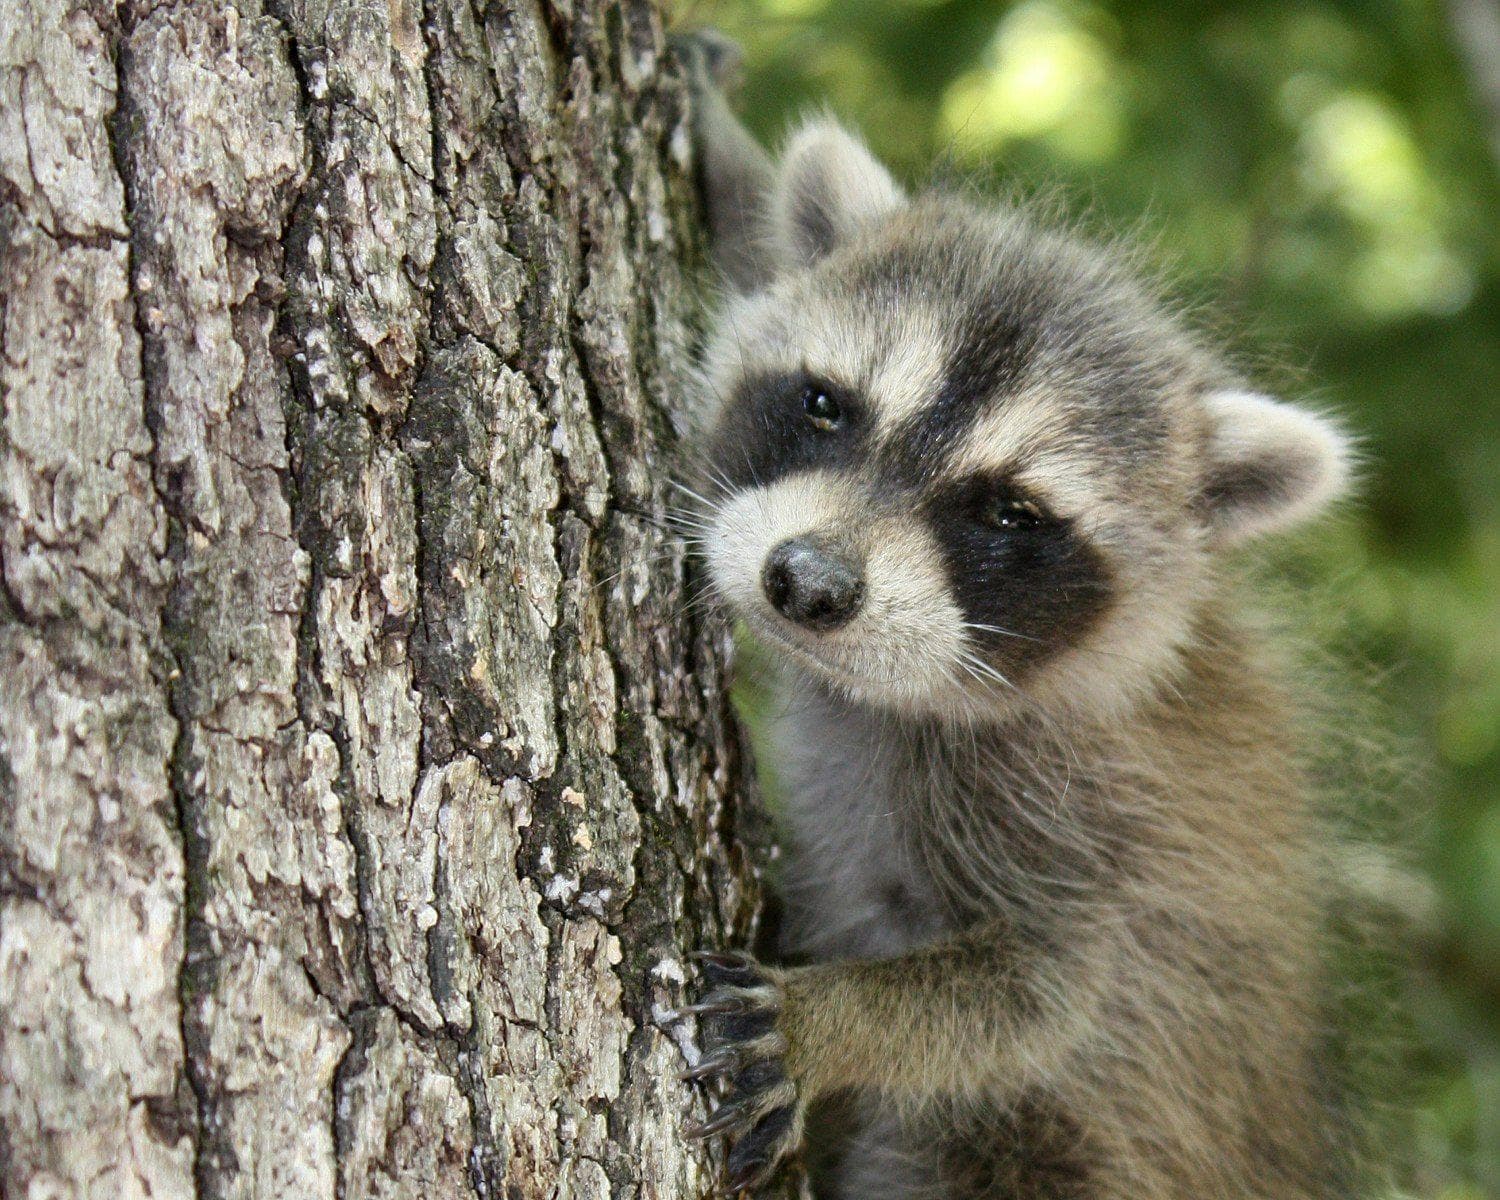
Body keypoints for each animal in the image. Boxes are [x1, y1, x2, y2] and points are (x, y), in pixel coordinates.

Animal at [674, 35, 1366, 1200]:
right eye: (826, 406)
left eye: (1008, 512)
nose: (807, 584)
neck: (890, 699)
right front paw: (724, 150)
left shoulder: (1097, 820)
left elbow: (1041, 993)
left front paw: (836, 1020)